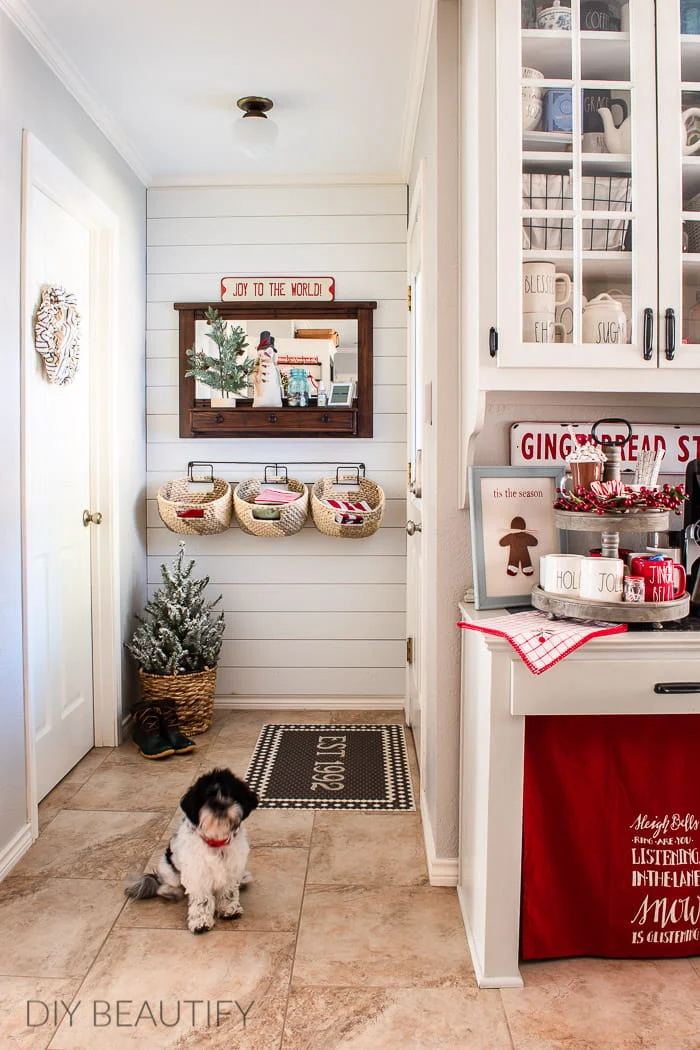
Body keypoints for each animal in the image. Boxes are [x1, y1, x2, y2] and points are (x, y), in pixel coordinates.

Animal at [124, 768, 259, 932]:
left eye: (230, 794)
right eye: (206, 798)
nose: (219, 806)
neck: (216, 841)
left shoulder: (231, 870)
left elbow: (229, 891)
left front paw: (229, 909)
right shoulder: (198, 874)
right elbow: (202, 900)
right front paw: (201, 922)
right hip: (169, 870)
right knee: (164, 885)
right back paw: (171, 892)